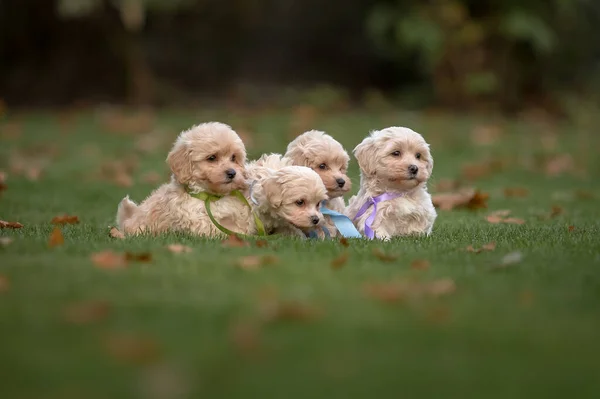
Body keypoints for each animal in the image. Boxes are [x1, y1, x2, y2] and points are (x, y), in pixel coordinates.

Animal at [115, 122, 253, 238]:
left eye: (233, 157)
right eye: (212, 158)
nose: (232, 173)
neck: (211, 196)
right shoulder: (198, 223)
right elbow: (218, 232)